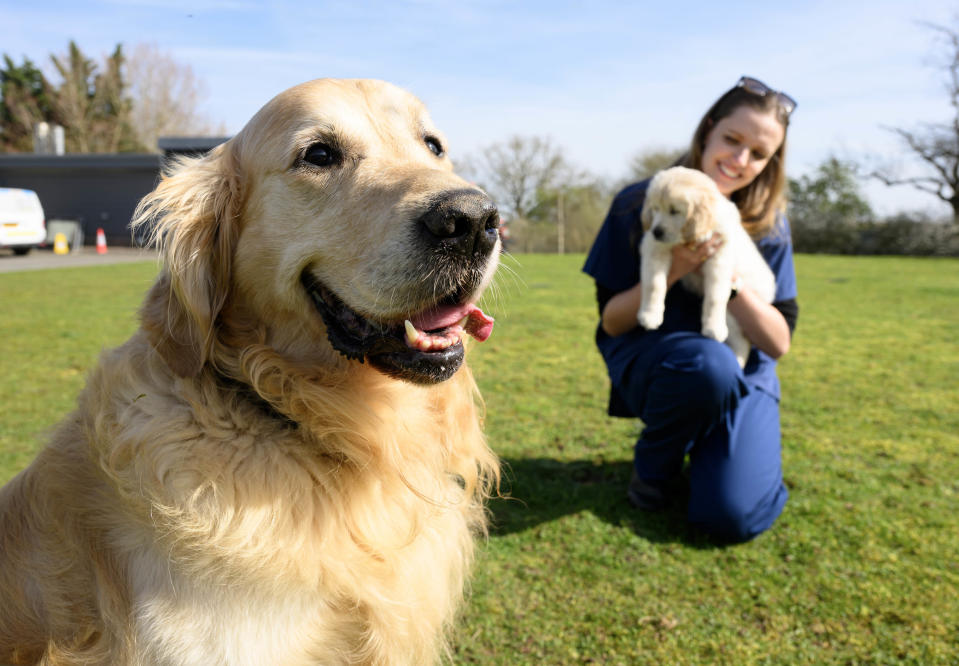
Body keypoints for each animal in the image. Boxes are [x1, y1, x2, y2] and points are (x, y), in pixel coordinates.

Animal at [636, 164, 780, 366]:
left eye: (674, 211)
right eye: (655, 208)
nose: (656, 231)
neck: (688, 238)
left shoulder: (719, 260)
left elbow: (715, 297)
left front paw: (713, 329)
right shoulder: (654, 248)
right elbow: (654, 284)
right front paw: (649, 316)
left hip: (734, 315)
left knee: (743, 342)